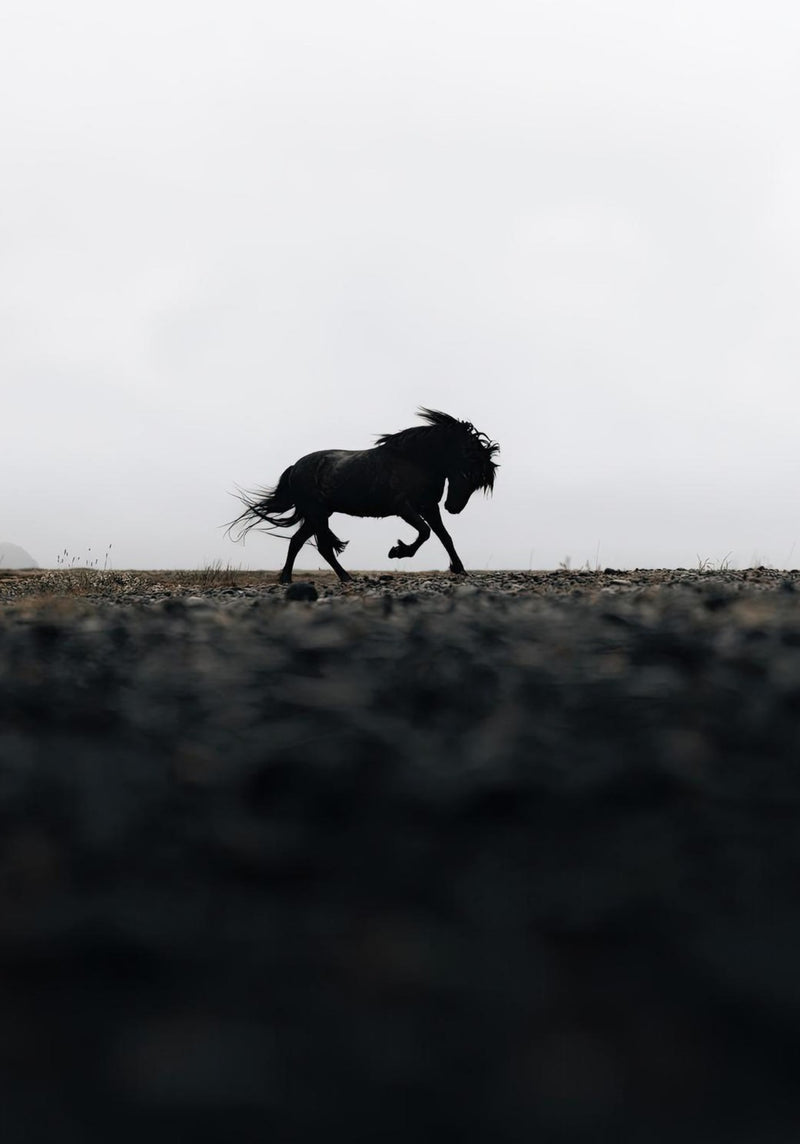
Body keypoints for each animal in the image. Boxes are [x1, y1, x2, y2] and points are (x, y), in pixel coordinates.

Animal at [228, 407, 499, 583]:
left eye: (478, 481)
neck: (414, 461)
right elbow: (425, 533)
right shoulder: (404, 508)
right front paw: (398, 551)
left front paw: (460, 569)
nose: (454, 507)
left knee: (297, 542)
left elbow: (445, 537)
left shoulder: (429, 507)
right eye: (467, 471)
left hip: (318, 515)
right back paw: (345, 578)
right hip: (318, 514)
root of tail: (295, 467)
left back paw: (288, 579)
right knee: (322, 547)